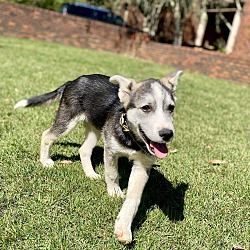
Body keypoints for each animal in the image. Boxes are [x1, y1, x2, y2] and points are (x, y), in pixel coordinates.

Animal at [14, 71, 183, 244]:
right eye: (146, 108)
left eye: (171, 108)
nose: (167, 134)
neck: (130, 136)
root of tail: (74, 81)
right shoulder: (110, 150)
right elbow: (112, 173)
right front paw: (114, 192)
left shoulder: (142, 165)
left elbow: (134, 198)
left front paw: (123, 228)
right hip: (68, 120)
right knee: (46, 135)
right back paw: (45, 161)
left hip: (95, 129)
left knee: (83, 150)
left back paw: (90, 173)